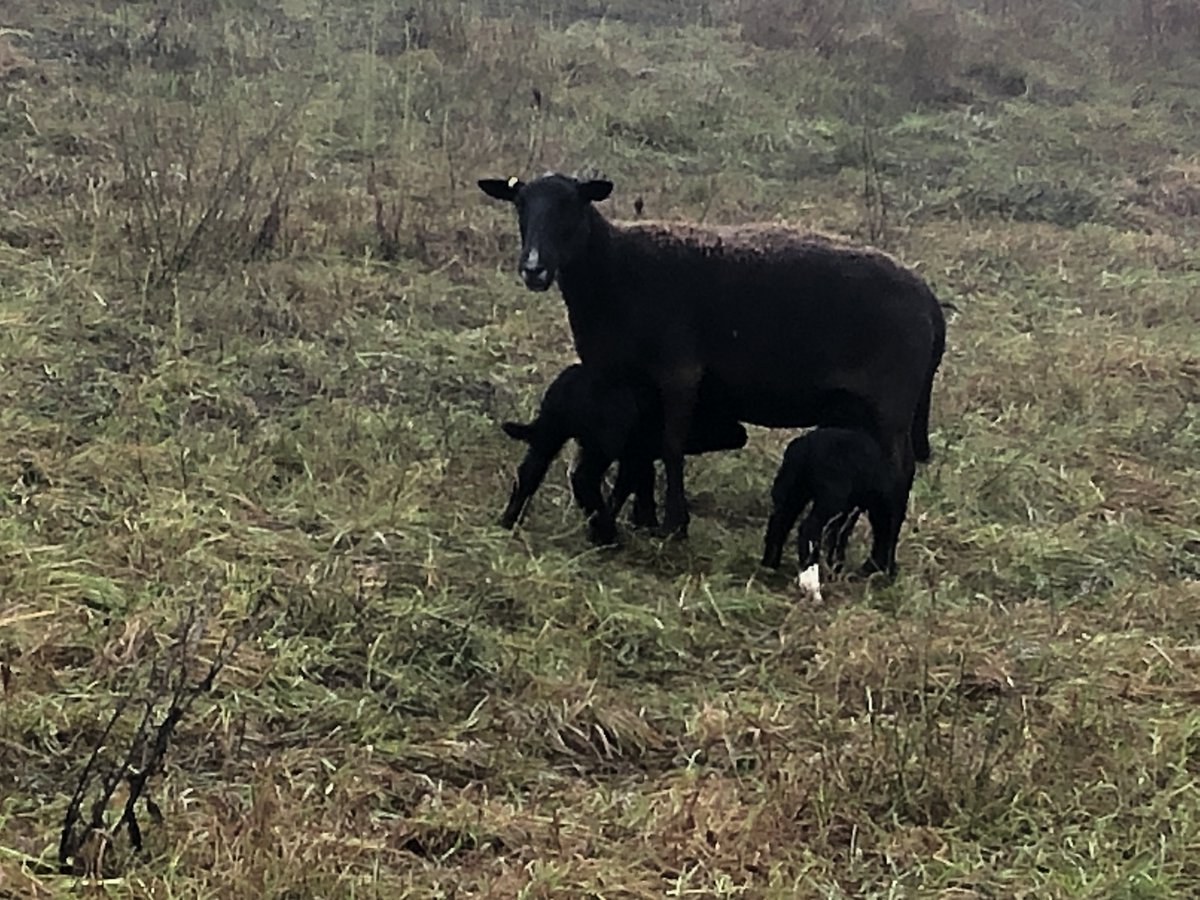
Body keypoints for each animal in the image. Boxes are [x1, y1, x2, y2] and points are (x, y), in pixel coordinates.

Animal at [499, 363, 748, 544]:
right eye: (714, 416)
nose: (742, 433)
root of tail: (573, 387)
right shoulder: (637, 454)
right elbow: (633, 485)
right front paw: (643, 523)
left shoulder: (638, 456)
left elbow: (635, 485)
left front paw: (643, 522)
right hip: (600, 444)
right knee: (583, 477)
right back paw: (607, 533)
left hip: (551, 432)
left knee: (529, 472)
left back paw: (508, 522)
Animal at [760, 427, 902, 596]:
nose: (891, 573)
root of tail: (806, 445)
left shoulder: (849, 508)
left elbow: (837, 535)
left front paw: (833, 569)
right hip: (831, 496)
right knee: (809, 527)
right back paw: (812, 585)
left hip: (793, 489)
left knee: (779, 521)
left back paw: (769, 566)